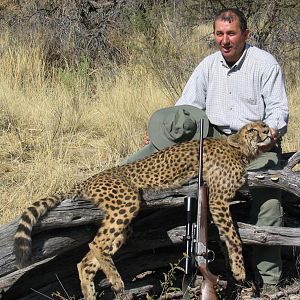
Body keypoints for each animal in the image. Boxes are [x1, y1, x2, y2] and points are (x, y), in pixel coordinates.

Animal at [13, 120, 272, 298]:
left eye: (264, 124)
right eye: (252, 129)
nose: (268, 131)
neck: (240, 150)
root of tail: (88, 179)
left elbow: (227, 237)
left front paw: (231, 265)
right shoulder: (218, 200)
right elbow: (234, 237)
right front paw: (239, 271)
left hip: (123, 225)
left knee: (86, 261)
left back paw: (91, 293)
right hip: (128, 200)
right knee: (96, 244)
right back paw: (116, 282)